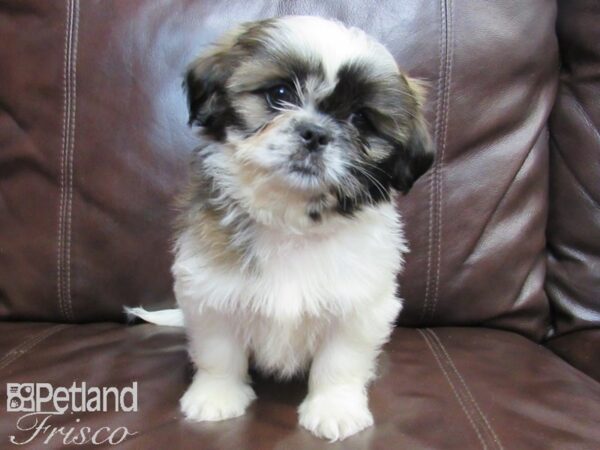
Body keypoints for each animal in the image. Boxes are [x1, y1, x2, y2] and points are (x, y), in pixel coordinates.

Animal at [129, 14, 434, 442]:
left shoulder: (361, 305)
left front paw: (335, 408)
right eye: (279, 93)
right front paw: (216, 396)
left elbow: (341, 361)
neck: (292, 222)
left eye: (360, 118)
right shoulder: (209, 291)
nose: (316, 133)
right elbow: (219, 351)